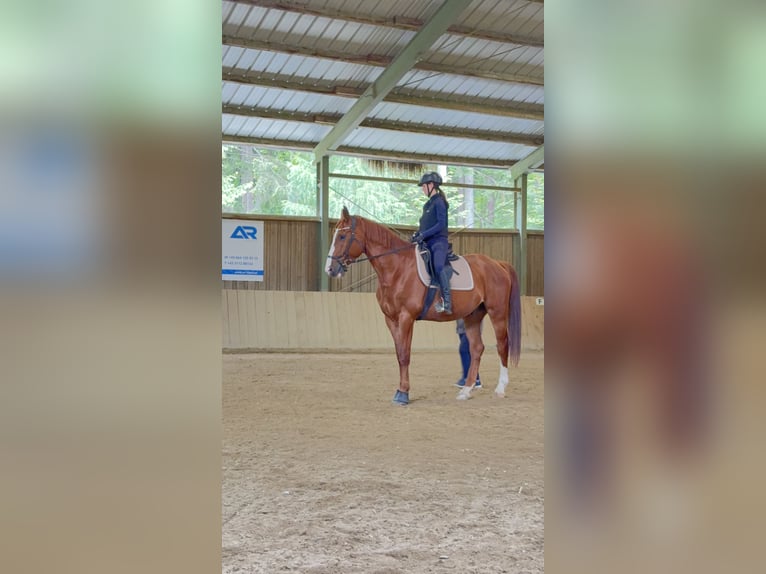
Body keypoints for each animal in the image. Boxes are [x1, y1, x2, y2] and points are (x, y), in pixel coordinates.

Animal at [325, 207, 521, 405]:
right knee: (476, 349)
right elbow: (399, 354)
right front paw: (400, 391)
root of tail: (497, 264)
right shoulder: (391, 320)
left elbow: (405, 355)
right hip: (472, 316)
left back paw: (500, 388)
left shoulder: (406, 318)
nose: (330, 269)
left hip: (497, 313)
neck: (398, 268)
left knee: (502, 345)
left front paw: (403, 394)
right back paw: (466, 390)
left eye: (342, 236)